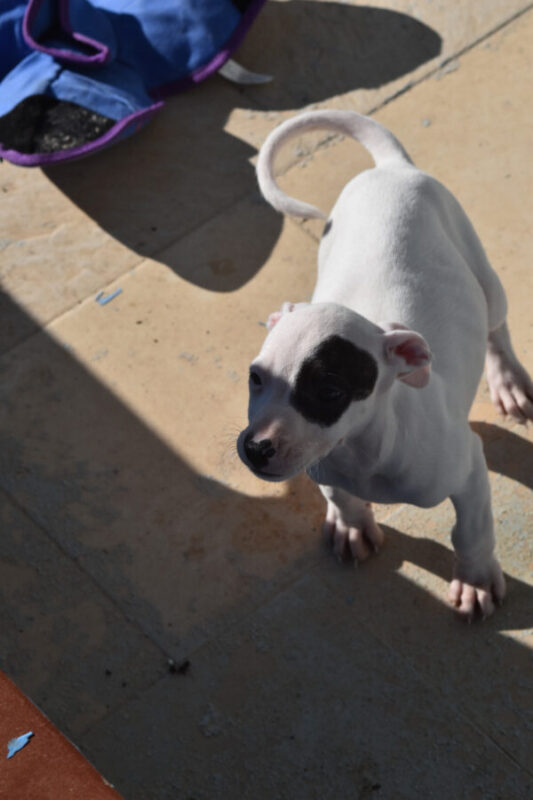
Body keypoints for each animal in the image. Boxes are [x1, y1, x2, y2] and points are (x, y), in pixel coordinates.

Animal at [237, 110, 533, 619]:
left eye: (330, 391)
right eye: (256, 379)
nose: (255, 448)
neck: (364, 452)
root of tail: (391, 168)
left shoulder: (468, 468)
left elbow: (470, 529)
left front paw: (475, 579)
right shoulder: (323, 463)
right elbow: (337, 492)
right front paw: (351, 522)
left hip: (482, 273)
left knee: (497, 327)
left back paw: (509, 381)